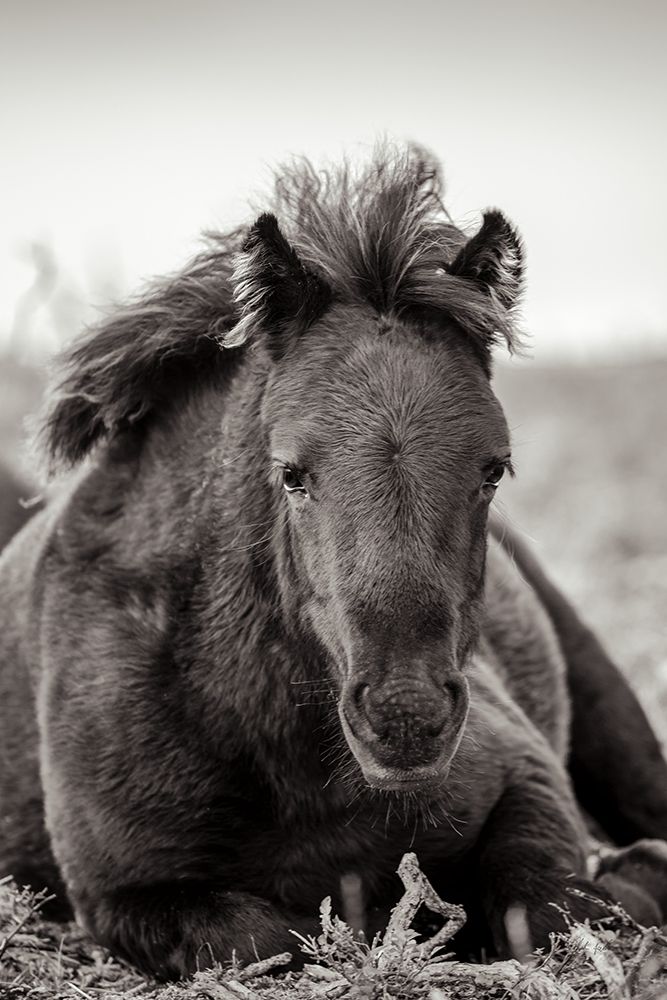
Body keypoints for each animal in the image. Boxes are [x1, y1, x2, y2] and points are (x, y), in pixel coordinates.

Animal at [1, 145, 666, 979]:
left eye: (493, 468)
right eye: (292, 473)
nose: (405, 718)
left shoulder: (525, 774)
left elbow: (544, 911)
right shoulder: (125, 893)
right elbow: (268, 937)